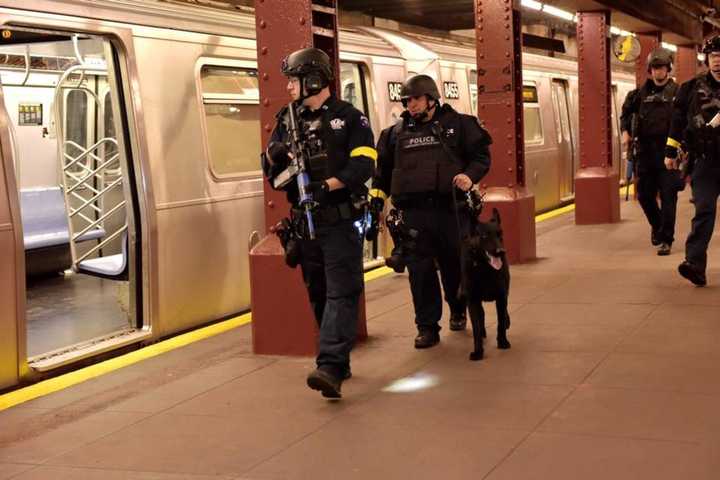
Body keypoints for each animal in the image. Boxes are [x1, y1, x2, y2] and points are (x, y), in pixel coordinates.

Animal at [462, 205, 512, 360]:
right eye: (484, 236)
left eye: (500, 234)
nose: (501, 251)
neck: (485, 269)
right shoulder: (472, 301)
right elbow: (476, 328)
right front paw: (478, 351)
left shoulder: (501, 297)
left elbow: (500, 323)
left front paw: (502, 342)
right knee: (481, 315)